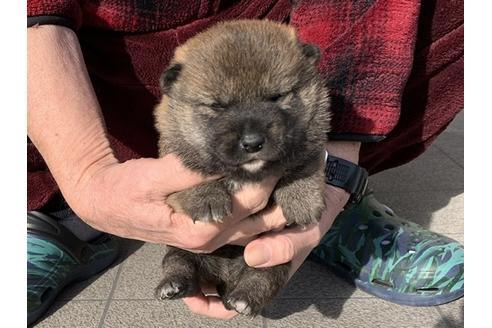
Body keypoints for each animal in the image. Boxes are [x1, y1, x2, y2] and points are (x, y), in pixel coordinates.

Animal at [154, 18, 330, 316]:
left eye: (276, 97)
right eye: (217, 106)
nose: (252, 142)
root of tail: (225, 278)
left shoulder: (310, 140)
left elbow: (302, 165)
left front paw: (302, 199)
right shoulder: (173, 153)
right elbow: (195, 172)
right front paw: (206, 199)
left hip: (270, 258)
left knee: (264, 277)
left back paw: (244, 298)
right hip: (184, 248)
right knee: (178, 262)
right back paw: (172, 285)